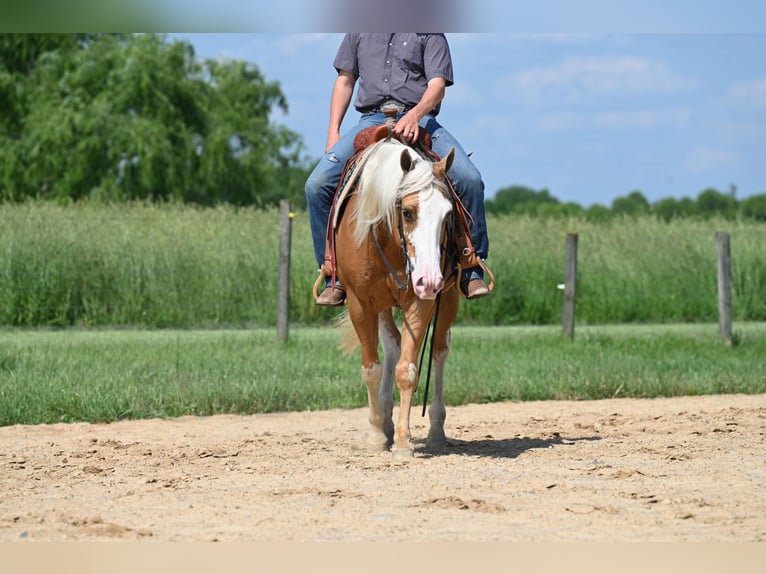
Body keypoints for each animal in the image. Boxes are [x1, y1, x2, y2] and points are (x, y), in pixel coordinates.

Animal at [328, 136, 460, 464]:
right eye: (408, 212)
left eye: (448, 215)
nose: (431, 279)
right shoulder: (361, 304)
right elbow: (372, 368)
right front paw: (378, 435)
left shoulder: (421, 300)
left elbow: (407, 370)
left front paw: (402, 442)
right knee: (392, 344)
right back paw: (385, 420)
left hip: (449, 300)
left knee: (439, 351)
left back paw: (435, 429)